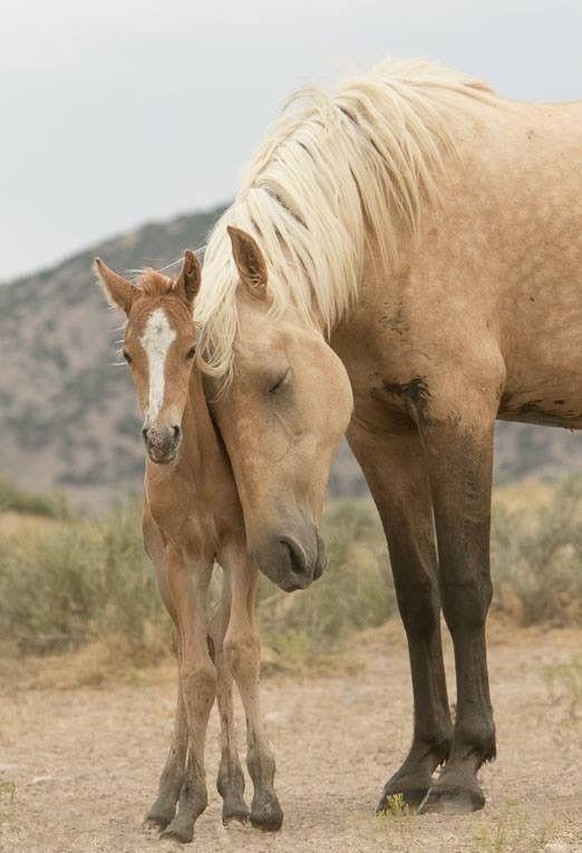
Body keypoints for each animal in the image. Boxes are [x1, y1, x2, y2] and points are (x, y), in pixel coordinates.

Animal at [94, 250, 284, 844]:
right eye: (127, 353)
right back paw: (169, 797)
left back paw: (235, 796)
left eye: (191, 348)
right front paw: (186, 807)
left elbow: (239, 652)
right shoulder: (182, 560)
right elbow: (194, 671)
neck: (197, 471)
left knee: (218, 642)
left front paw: (263, 798)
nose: (160, 440)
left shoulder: (240, 550)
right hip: (169, 573)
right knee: (189, 649)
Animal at [196, 56, 582, 816]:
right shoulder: (382, 434)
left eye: (277, 380)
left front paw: (463, 768)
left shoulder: (459, 416)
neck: (394, 218)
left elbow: (464, 586)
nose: (280, 554)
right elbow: (416, 596)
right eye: (211, 410)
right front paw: (416, 767)